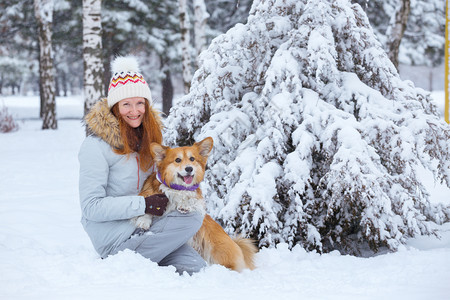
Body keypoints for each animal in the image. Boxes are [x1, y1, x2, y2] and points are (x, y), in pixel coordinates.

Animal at [132, 137, 256, 270]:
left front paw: (186, 205)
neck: (178, 188)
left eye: (192, 159)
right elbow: (148, 205)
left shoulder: (198, 204)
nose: (189, 169)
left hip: (217, 249)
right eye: (177, 160)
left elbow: (193, 202)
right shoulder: (148, 195)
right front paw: (144, 220)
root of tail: (235, 242)